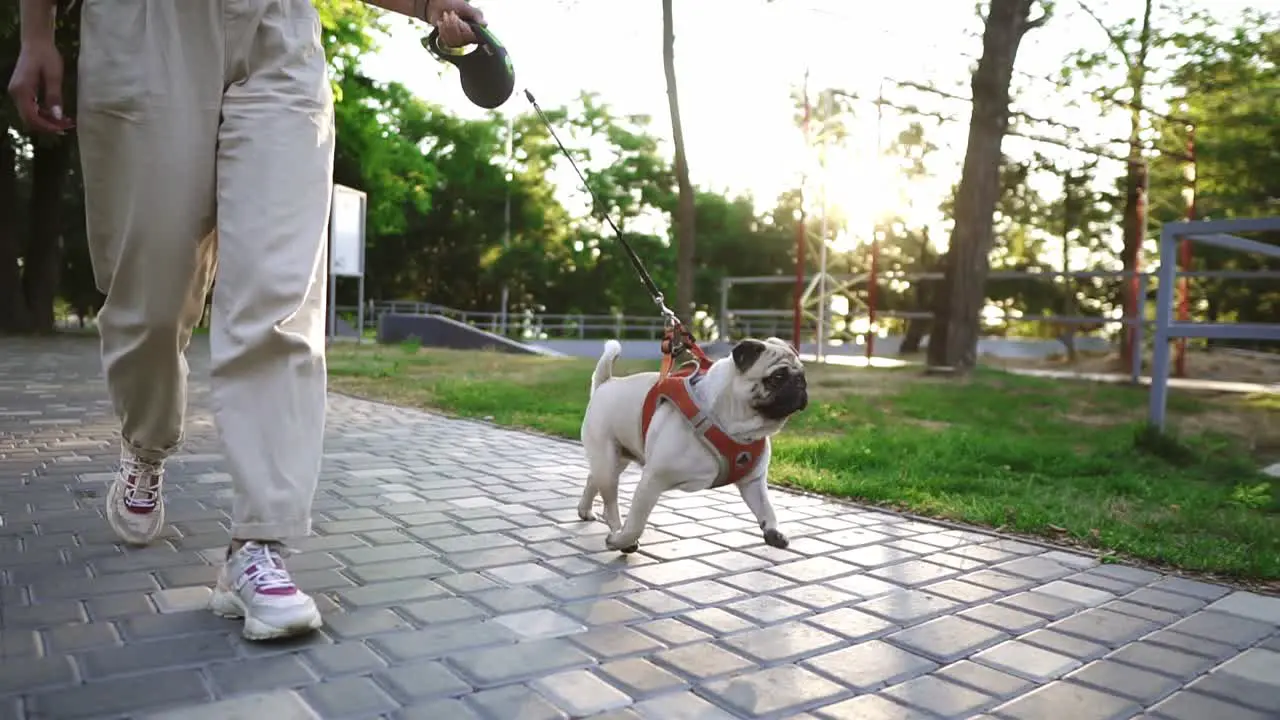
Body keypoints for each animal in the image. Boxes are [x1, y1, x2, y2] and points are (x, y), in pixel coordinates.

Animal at [576, 335, 803, 548]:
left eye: (801, 373)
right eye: (777, 377)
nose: (799, 383)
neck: (730, 424)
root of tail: (607, 383)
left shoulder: (753, 483)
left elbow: (766, 508)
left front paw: (773, 531)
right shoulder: (652, 480)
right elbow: (636, 524)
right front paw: (624, 540)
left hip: (617, 458)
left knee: (593, 479)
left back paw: (584, 510)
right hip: (607, 460)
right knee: (609, 502)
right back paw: (617, 535)